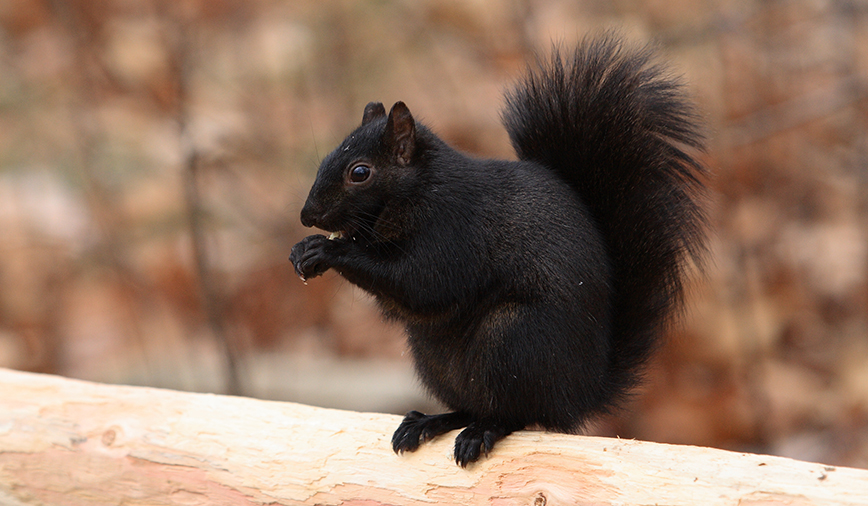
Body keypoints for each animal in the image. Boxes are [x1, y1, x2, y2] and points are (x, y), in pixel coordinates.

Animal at [288, 35, 708, 468]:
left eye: (360, 172)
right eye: (325, 158)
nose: (307, 215)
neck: (418, 190)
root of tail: (582, 393)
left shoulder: (453, 233)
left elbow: (420, 284)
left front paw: (328, 251)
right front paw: (305, 250)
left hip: (511, 341)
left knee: (517, 414)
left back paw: (483, 431)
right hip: (433, 358)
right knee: (470, 405)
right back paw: (430, 422)